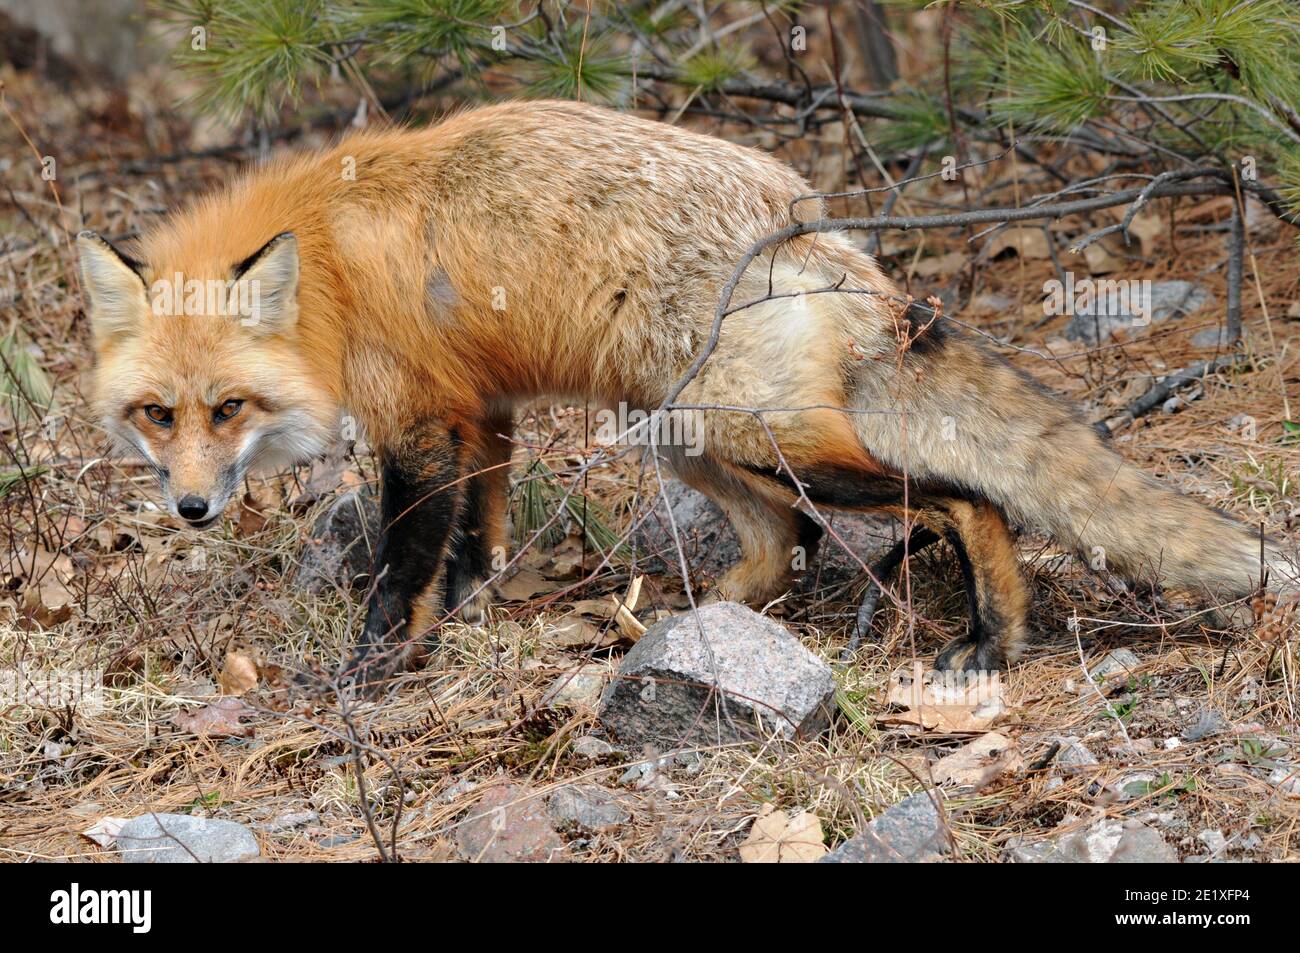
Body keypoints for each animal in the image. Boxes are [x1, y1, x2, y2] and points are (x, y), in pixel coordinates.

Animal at [78, 96, 1289, 681]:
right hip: (683, 436)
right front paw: (466, 612)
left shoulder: (420, 423)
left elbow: (404, 563)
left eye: (229, 408)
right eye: (157, 414)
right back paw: (683, 627)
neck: (327, 270)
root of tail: (819, 230)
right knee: (783, 544)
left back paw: (994, 638)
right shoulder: (483, 409)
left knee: (965, 496)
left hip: (751, 432)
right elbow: (476, 535)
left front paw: (373, 669)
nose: (191, 507)